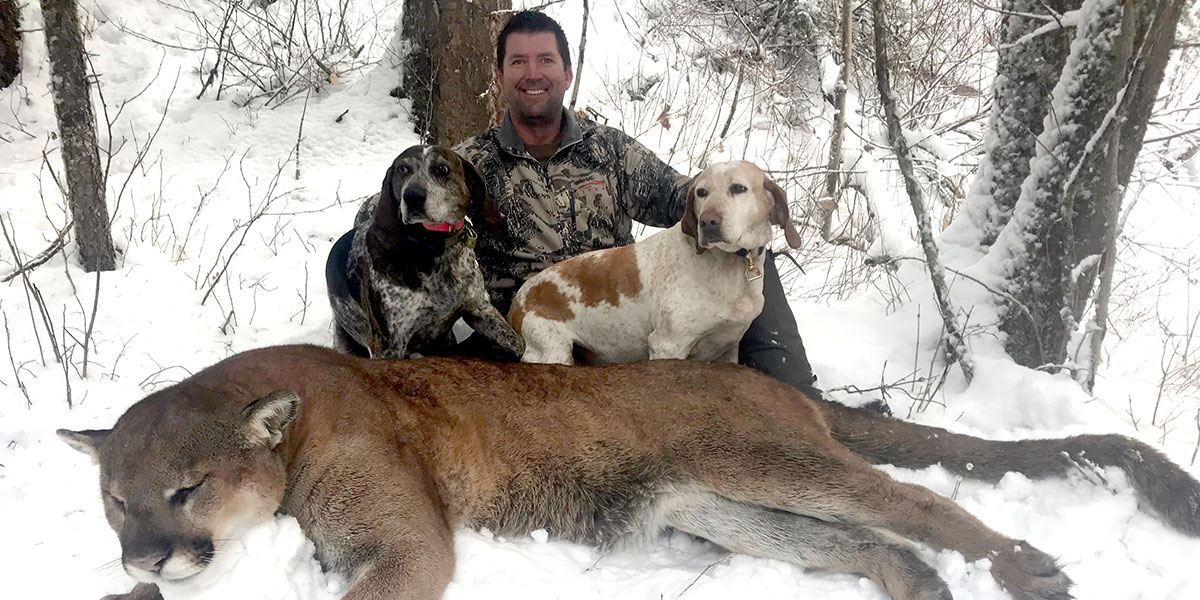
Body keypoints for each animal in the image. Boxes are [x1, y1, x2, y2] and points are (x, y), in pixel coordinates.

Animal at [324, 144, 525, 360]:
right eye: (402, 169)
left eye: (441, 169)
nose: (412, 196)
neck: (434, 245)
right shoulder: (388, 345)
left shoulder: (478, 308)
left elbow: (520, 344)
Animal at [506, 160, 796, 364]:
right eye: (702, 192)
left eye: (738, 188)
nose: (707, 222)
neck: (731, 268)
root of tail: (516, 302)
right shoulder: (667, 345)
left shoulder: (728, 350)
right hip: (553, 351)